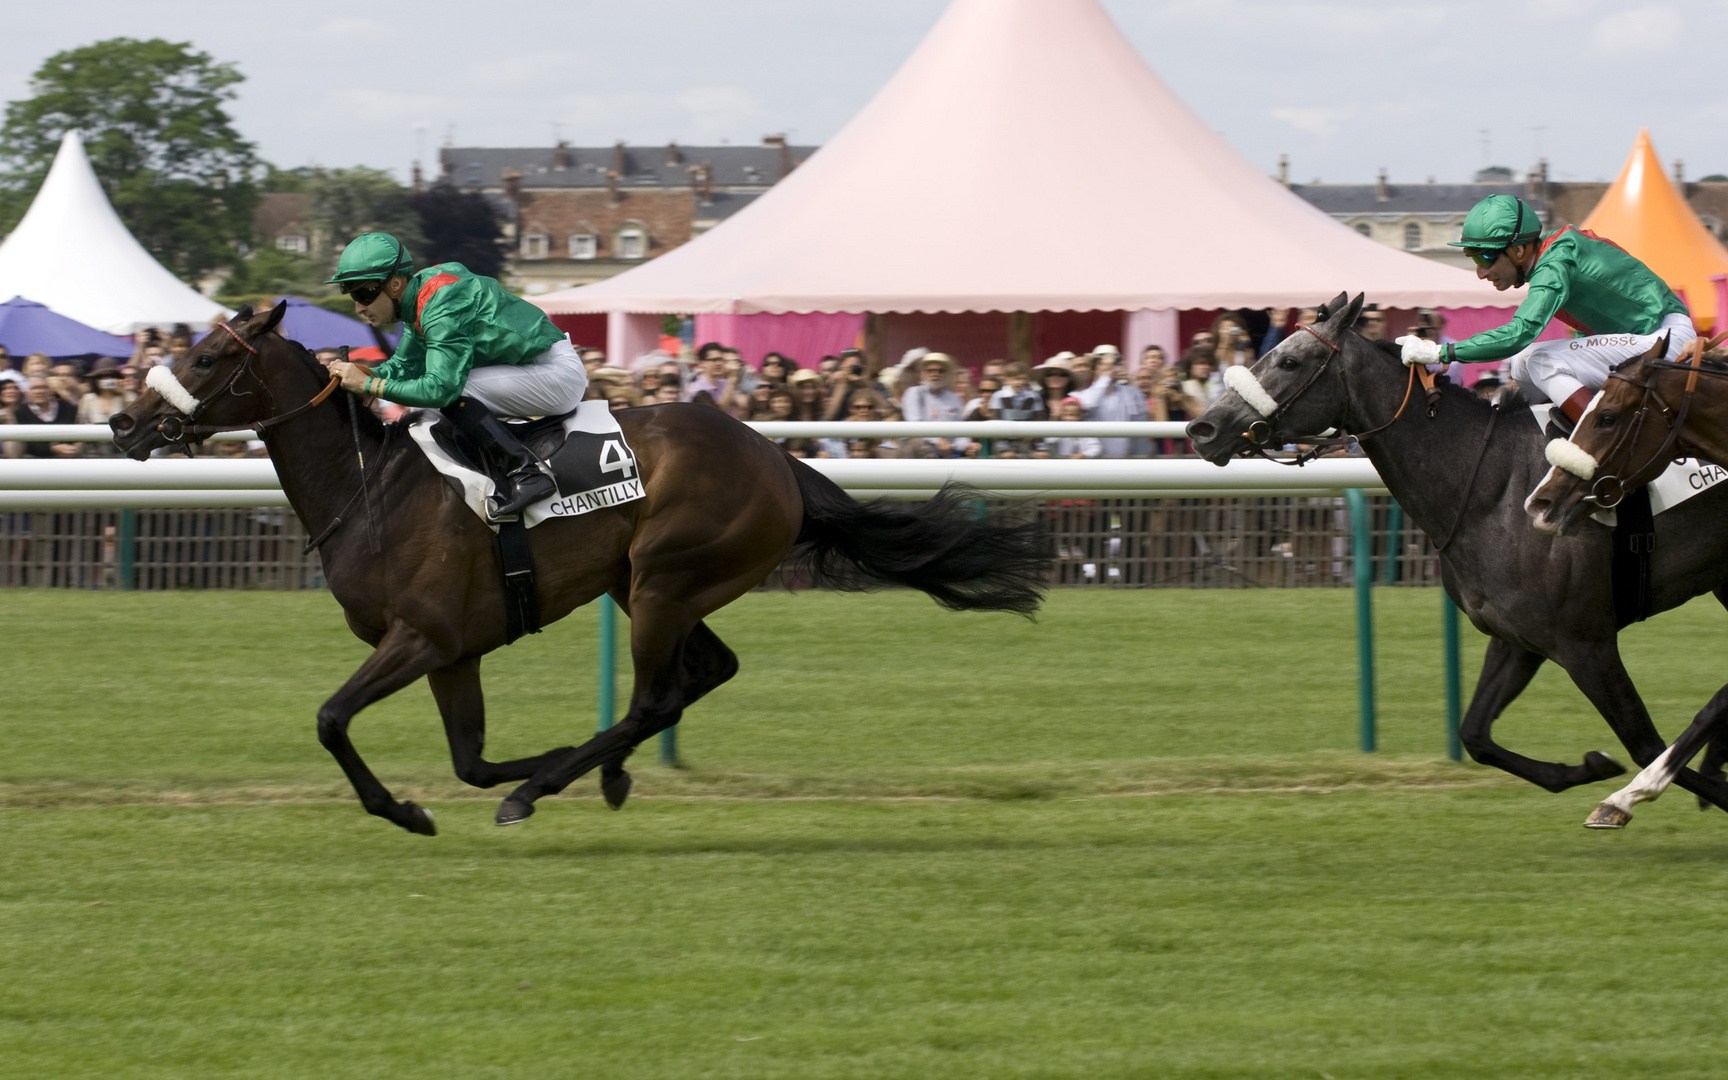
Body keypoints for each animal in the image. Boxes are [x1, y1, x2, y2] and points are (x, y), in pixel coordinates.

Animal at [118, 304, 1050, 832]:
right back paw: (597, 769)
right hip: (651, 586)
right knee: (704, 673)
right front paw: (526, 765)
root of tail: (781, 460)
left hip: (664, 581)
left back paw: (555, 786)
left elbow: (331, 719)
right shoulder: (453, 652)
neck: (371, 488)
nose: (126, 425)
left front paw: (409, 811)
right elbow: (469, 758)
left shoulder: (420, 637)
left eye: (207, 359)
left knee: (653, 698)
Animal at [1181, 290, 1728, 822]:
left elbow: (1645, 742)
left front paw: (1629, 795)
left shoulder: (1585, 642)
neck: (1492, 484)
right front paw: (1589, 767)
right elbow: (1476, 735)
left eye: (1290, 360)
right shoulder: (1518, 638)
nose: (1203, 428)